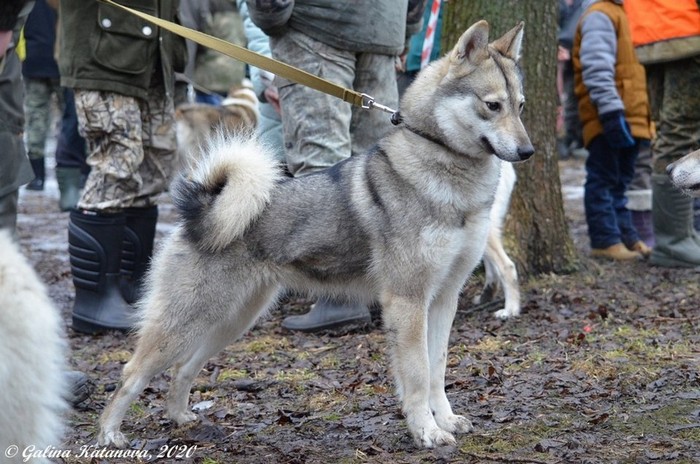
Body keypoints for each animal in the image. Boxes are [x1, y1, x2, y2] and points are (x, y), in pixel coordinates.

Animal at [97, 20, 533, 449]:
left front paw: (446, 420)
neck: (446, 175)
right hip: (188, 321)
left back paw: (180, 417)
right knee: (132, 372)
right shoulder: (407, 301)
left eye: (521, 106)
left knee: (183, 368)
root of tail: (202, 207)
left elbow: (437, 369)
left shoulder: (443, 299)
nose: (528, 152)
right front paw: (426, 431)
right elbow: (417, 374)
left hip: (232, 320)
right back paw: (109, 434)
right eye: (492, 105)